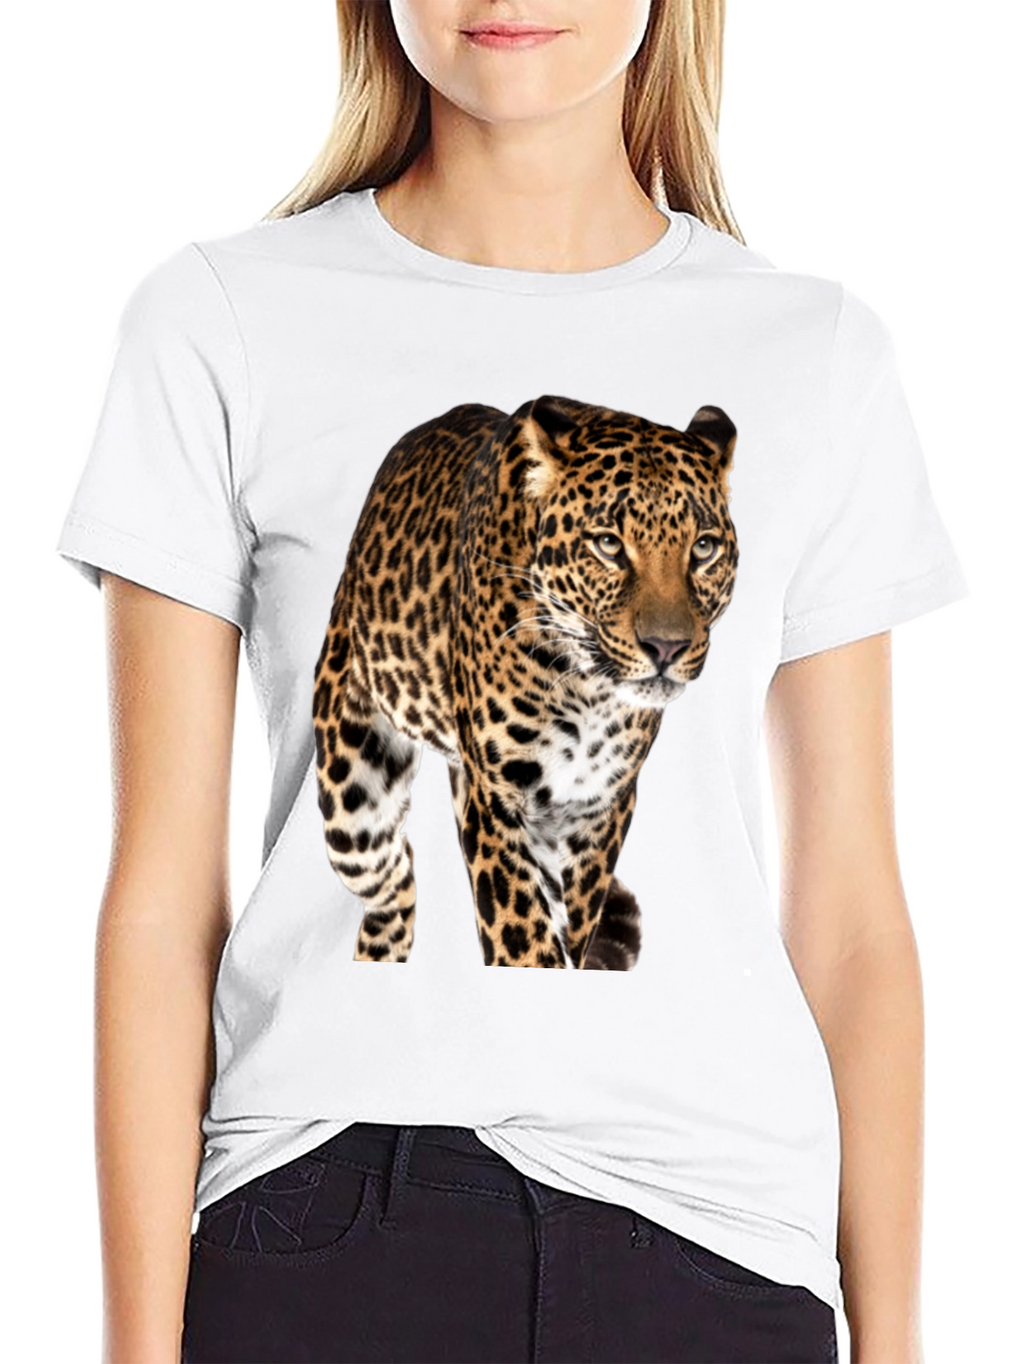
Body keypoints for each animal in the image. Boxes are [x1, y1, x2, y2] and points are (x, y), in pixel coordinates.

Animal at [312, 394, 739, 969]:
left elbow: (571, 924)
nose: (666, 648)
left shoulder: (600, 805)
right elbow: (522, 934)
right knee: (392, 883)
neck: (588, 689)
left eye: (703, 548)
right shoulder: (497, 798)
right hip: (353, 800)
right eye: (609, 545)